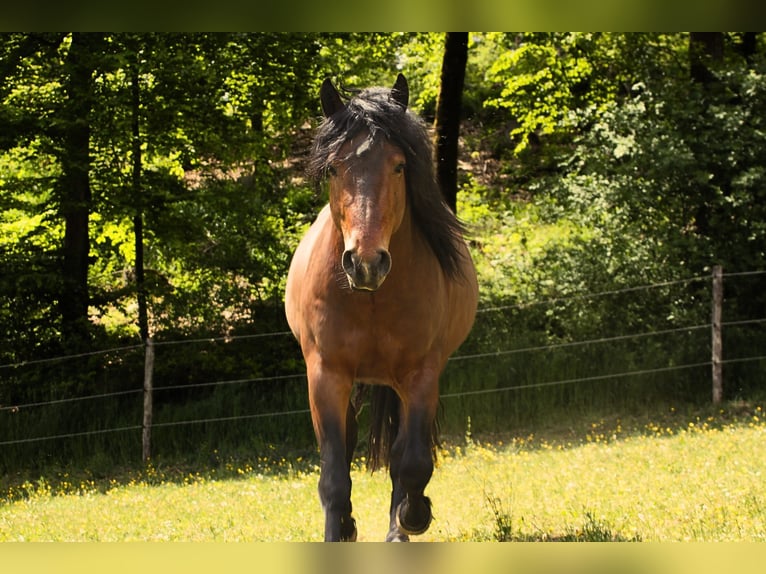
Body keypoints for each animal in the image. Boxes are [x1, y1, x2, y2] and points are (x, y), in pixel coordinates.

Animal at [284, 74, 478, 542]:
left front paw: (413, 516)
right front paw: (339, 532)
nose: (366, 262)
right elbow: (334, 474)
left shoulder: (421, 375)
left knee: (400, 451)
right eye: (334, 168)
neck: (370, 298)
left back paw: (400, 526)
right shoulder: (326, 375)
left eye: (399, 166)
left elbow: (412, 461)